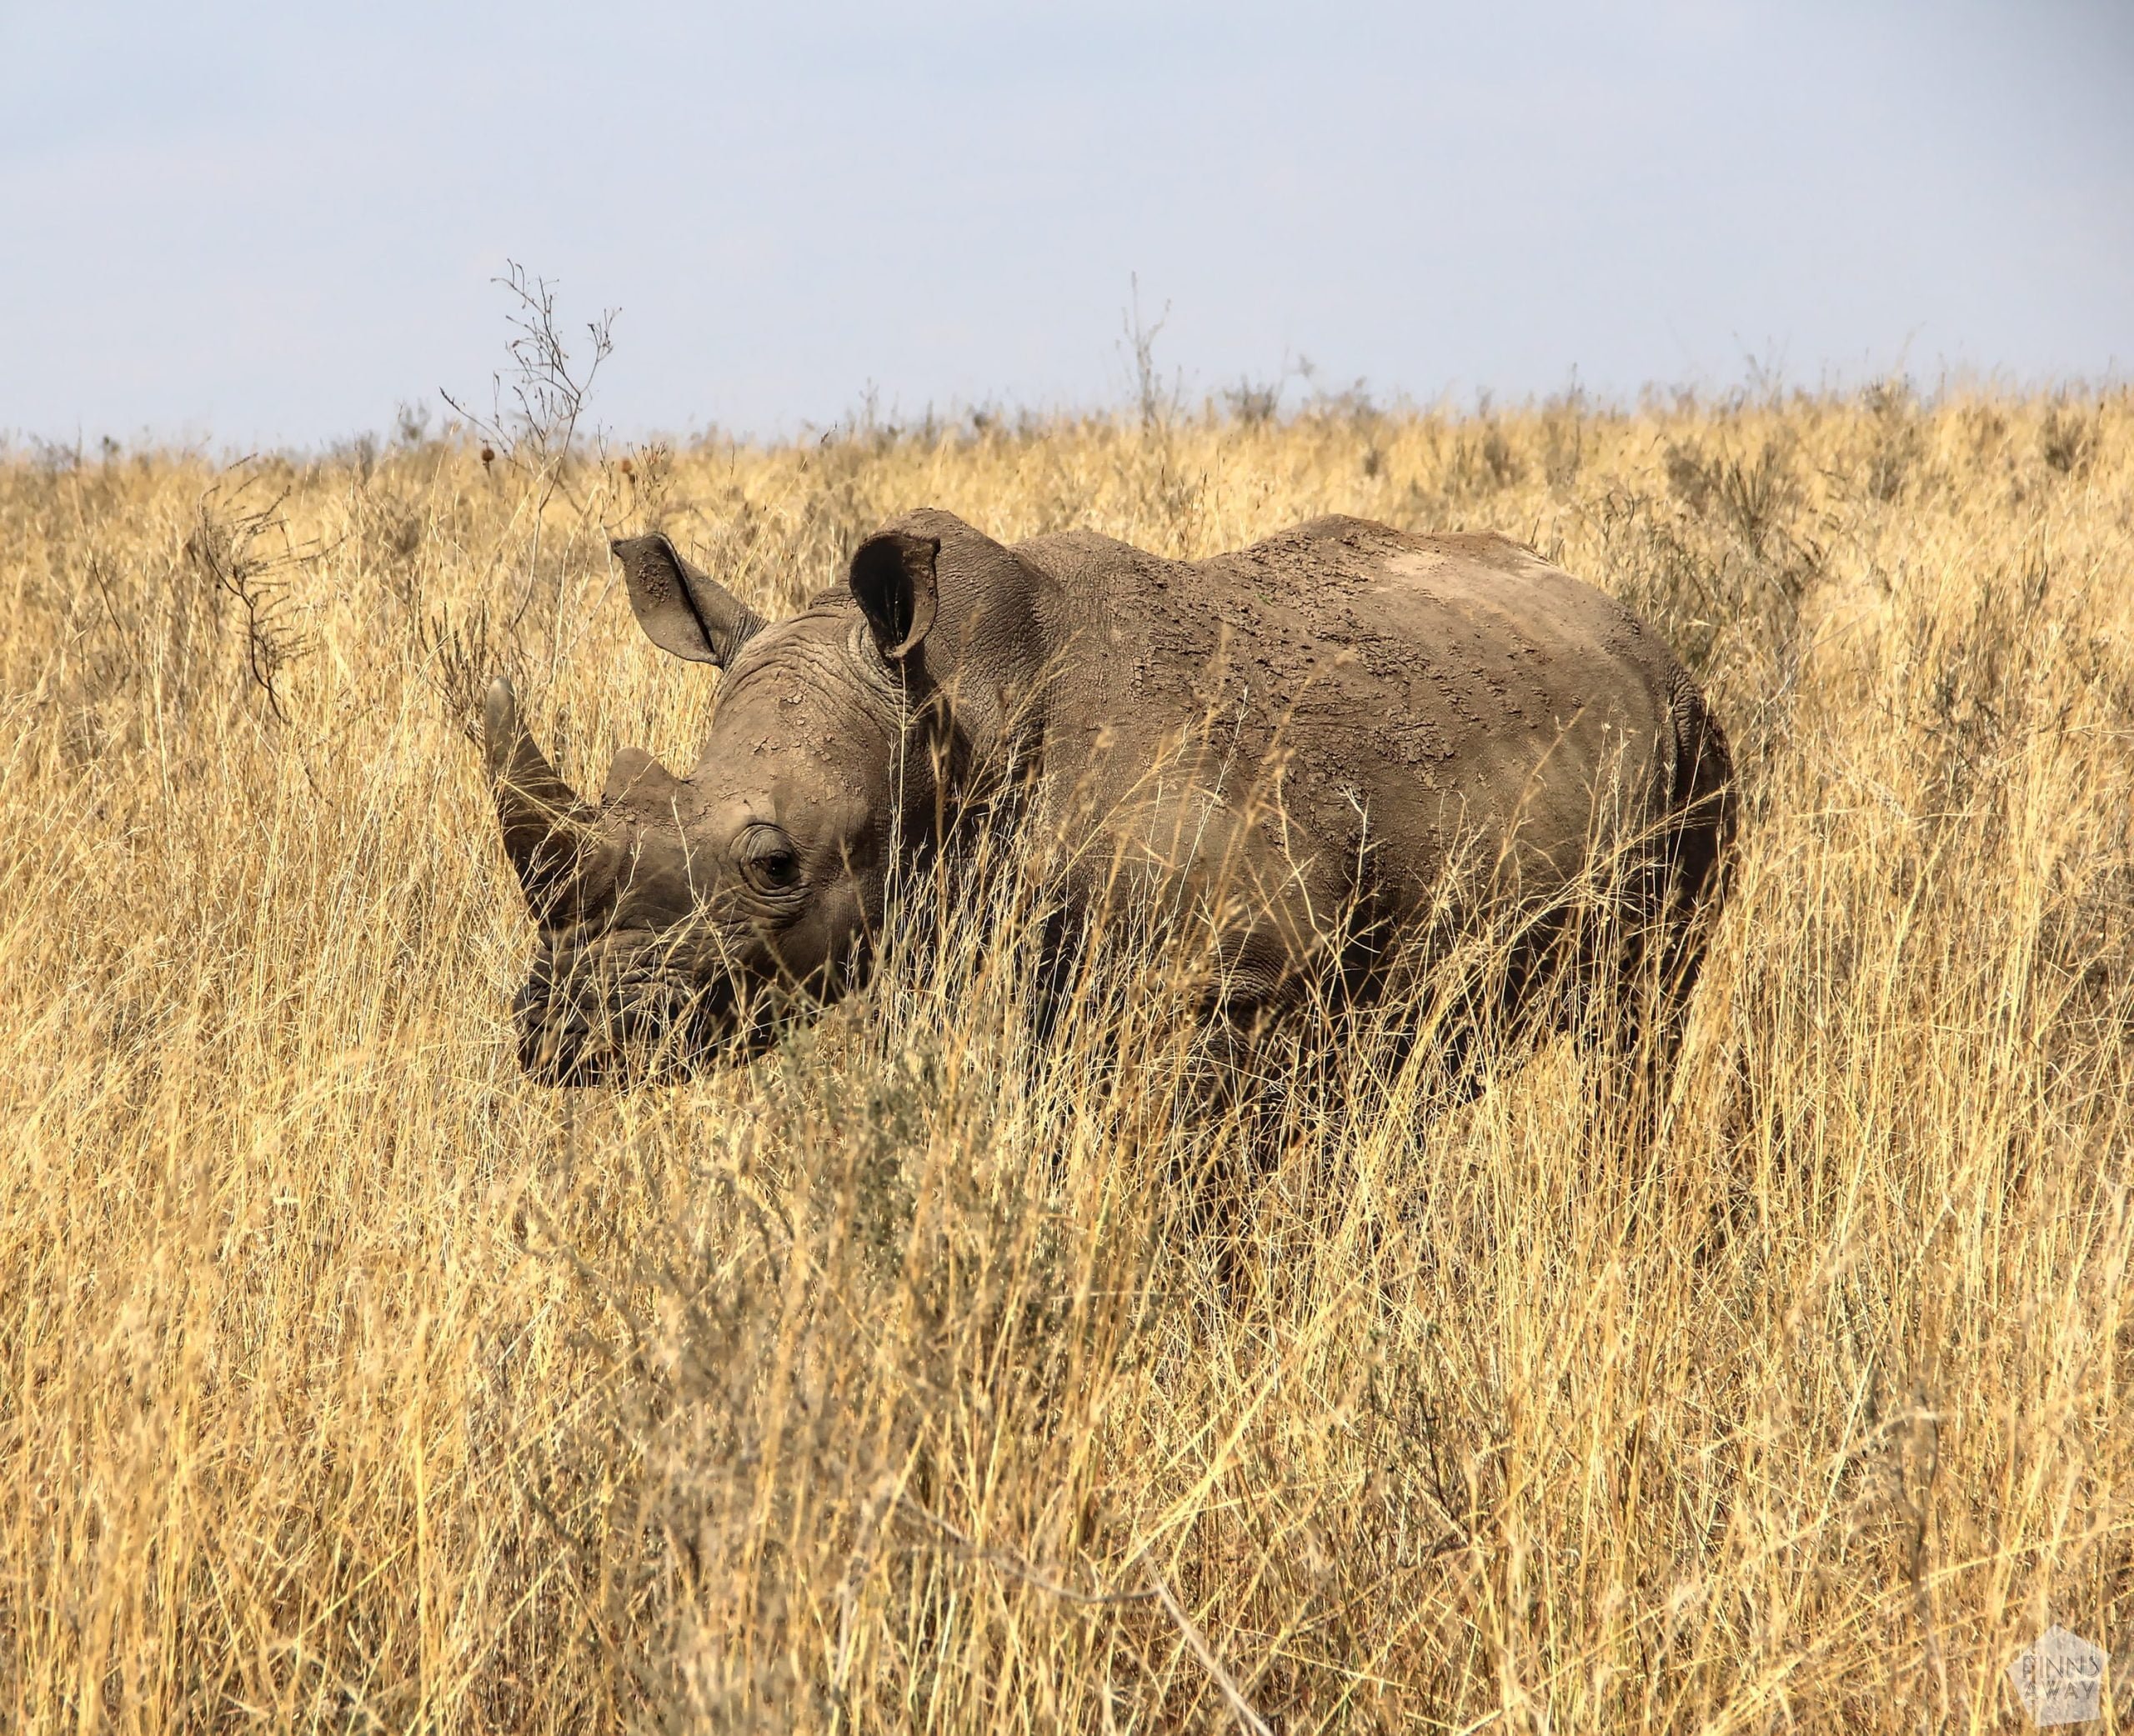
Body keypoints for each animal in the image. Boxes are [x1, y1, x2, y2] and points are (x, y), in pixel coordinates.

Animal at [485, 510, 1735, 1086]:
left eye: (774, 864)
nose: (562, 1032)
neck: (955, 708)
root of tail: (1642, 634)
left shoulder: (1237, 991)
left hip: (1691, 756)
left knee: (1639, 1022)